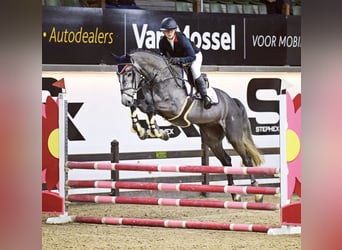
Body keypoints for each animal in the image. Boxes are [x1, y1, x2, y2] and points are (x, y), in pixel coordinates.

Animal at [115, 49, 264, 202]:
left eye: (129, 73)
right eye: (118, 75)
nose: (125, 100)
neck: (158, 78)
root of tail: (233, 101)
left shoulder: (173, 108)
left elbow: (150, 108)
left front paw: (156, 132)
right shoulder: (150, 104)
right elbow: (140, 106)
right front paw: (147, 131)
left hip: (234, 135)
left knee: (246, 158)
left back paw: (257, 193)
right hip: (212, 139)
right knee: (227, 161)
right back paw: (235, 194)